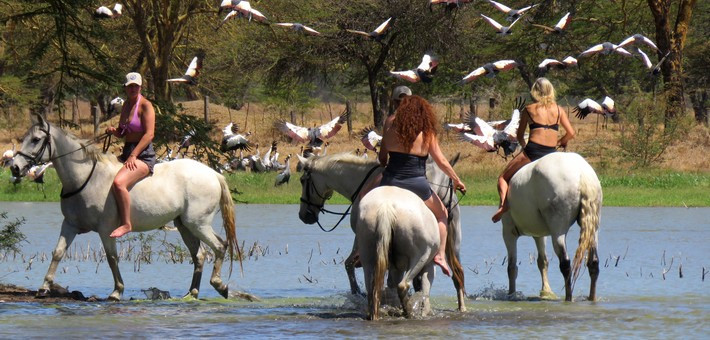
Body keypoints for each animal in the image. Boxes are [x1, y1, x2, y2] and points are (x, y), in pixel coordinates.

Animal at [12, 116, 241, 300]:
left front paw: (117, 291)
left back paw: (219, 285)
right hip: (185, 225)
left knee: (220, 246)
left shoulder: (106, 230)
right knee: (199, 255)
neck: (85, 177)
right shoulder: (69, 225)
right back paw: (191, 293)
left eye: (35, 139)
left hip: (198, 224)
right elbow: (58, 253)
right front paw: (44, 287)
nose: (15, 167)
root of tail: (213, 174)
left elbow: (112, 258)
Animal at [358, 187, 442, 320]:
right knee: (403, 285)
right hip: (420, 256)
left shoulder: (396, 268)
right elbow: (426, 287)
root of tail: (386, 205)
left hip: (367, 255)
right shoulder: (429, 265)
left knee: (371, 288)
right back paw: (408, 312)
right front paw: (425, 312)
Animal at [504, 153, 604, 302]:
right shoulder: (539, 234)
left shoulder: (508, 232)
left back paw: (568, 298)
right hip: (592, 229)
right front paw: (546, 291)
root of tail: (583, 174)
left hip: (558, 229)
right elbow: (542, 262)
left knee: (565, 264)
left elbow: (511, 267)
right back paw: (591, 298)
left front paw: (511, 294)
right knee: (593, 263)